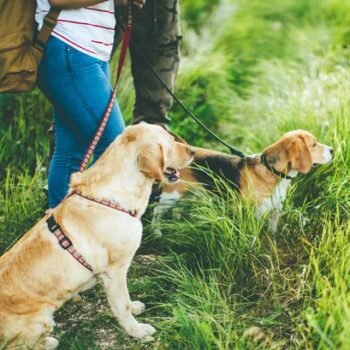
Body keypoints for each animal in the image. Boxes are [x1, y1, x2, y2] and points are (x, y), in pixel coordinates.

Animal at [0, 123, 194, 350]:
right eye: (169, 143)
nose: (193, 151)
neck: (112, 198)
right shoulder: (115, 272)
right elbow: (122, 306)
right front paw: (137, 331)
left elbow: (127, 299)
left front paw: (135, 307)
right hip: (42, 319)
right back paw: (48, 342)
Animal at [154, 129, 334, 232]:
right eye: (314, 144)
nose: (332, 150)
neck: (271, 172)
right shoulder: (252, 215)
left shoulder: (274, 212)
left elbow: (272, 234)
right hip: (171, 196)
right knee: (156, 212)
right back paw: (157, 232)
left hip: (187, 195)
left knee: (177, 210)